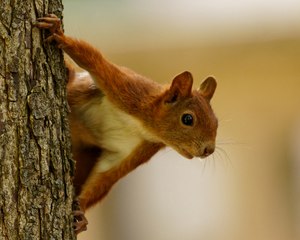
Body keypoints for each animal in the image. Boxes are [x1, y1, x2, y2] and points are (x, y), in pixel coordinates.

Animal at [35, 13, 218, 234]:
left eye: (216, 122)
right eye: (188, 119)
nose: (209, 150)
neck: (141, 126)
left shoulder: (137, 149)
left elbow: (105, 175)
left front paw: (82, 215)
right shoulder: (129, 90)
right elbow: (93, 60)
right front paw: (58, 33)